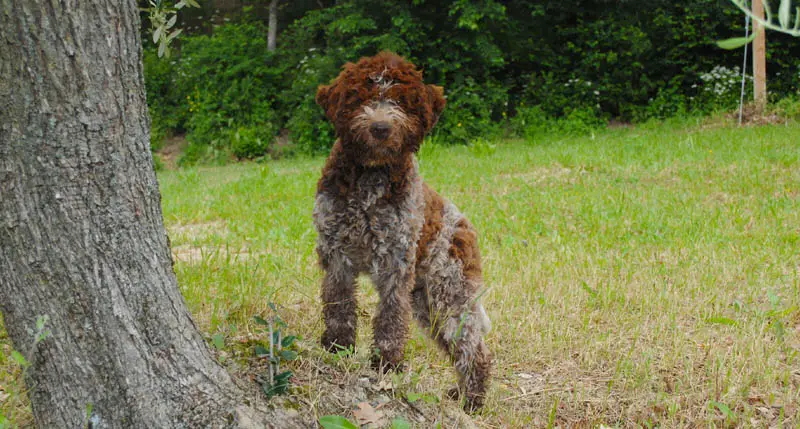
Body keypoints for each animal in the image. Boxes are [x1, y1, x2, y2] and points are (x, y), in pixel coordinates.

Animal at [314, 51, 490, 410]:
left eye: (399, 101)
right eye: (361, 98)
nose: (380, 128)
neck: (370, 177)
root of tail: (465, 225)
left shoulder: (395, 262)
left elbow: (391, 316)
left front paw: (386, 363)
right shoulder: (337, 255)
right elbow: (338, 305)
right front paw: (337, 348)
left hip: (449, 293)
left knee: (473, 347)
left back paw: (472, 401)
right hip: (427, 302)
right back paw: (463, 395)